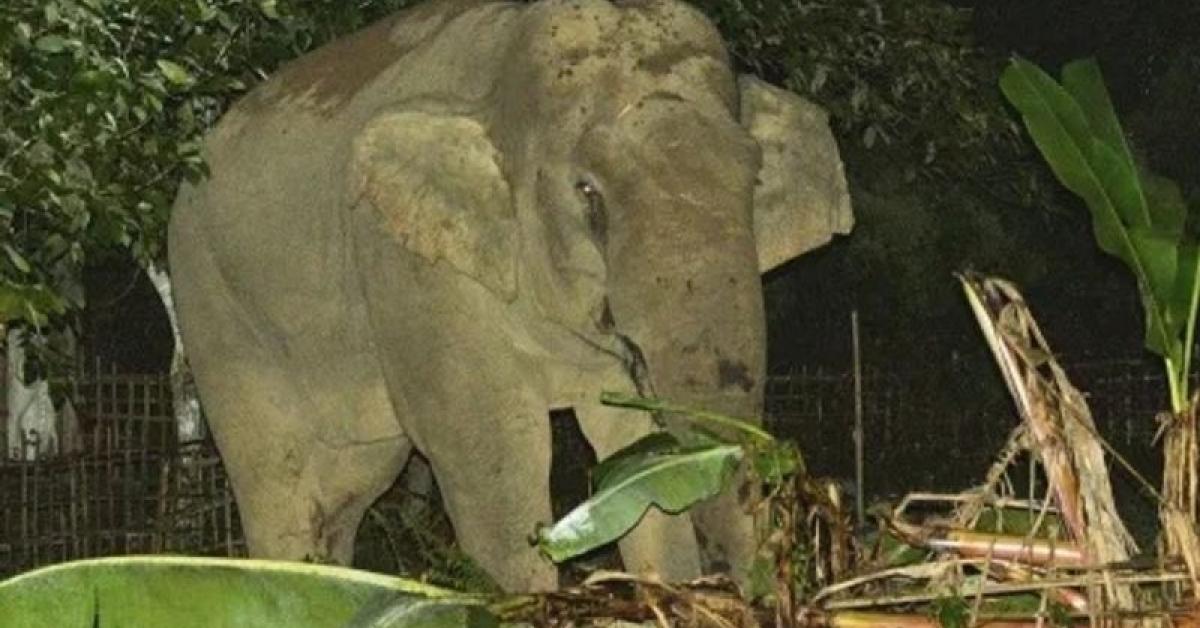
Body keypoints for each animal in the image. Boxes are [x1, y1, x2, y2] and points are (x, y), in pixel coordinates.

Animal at [168, 0, 852, 592]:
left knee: (349, 480)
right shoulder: (407, 259)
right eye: (588, 193)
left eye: (754, 178)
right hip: (212, 304)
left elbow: (628, 443)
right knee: (275, 476)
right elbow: (491, 443)